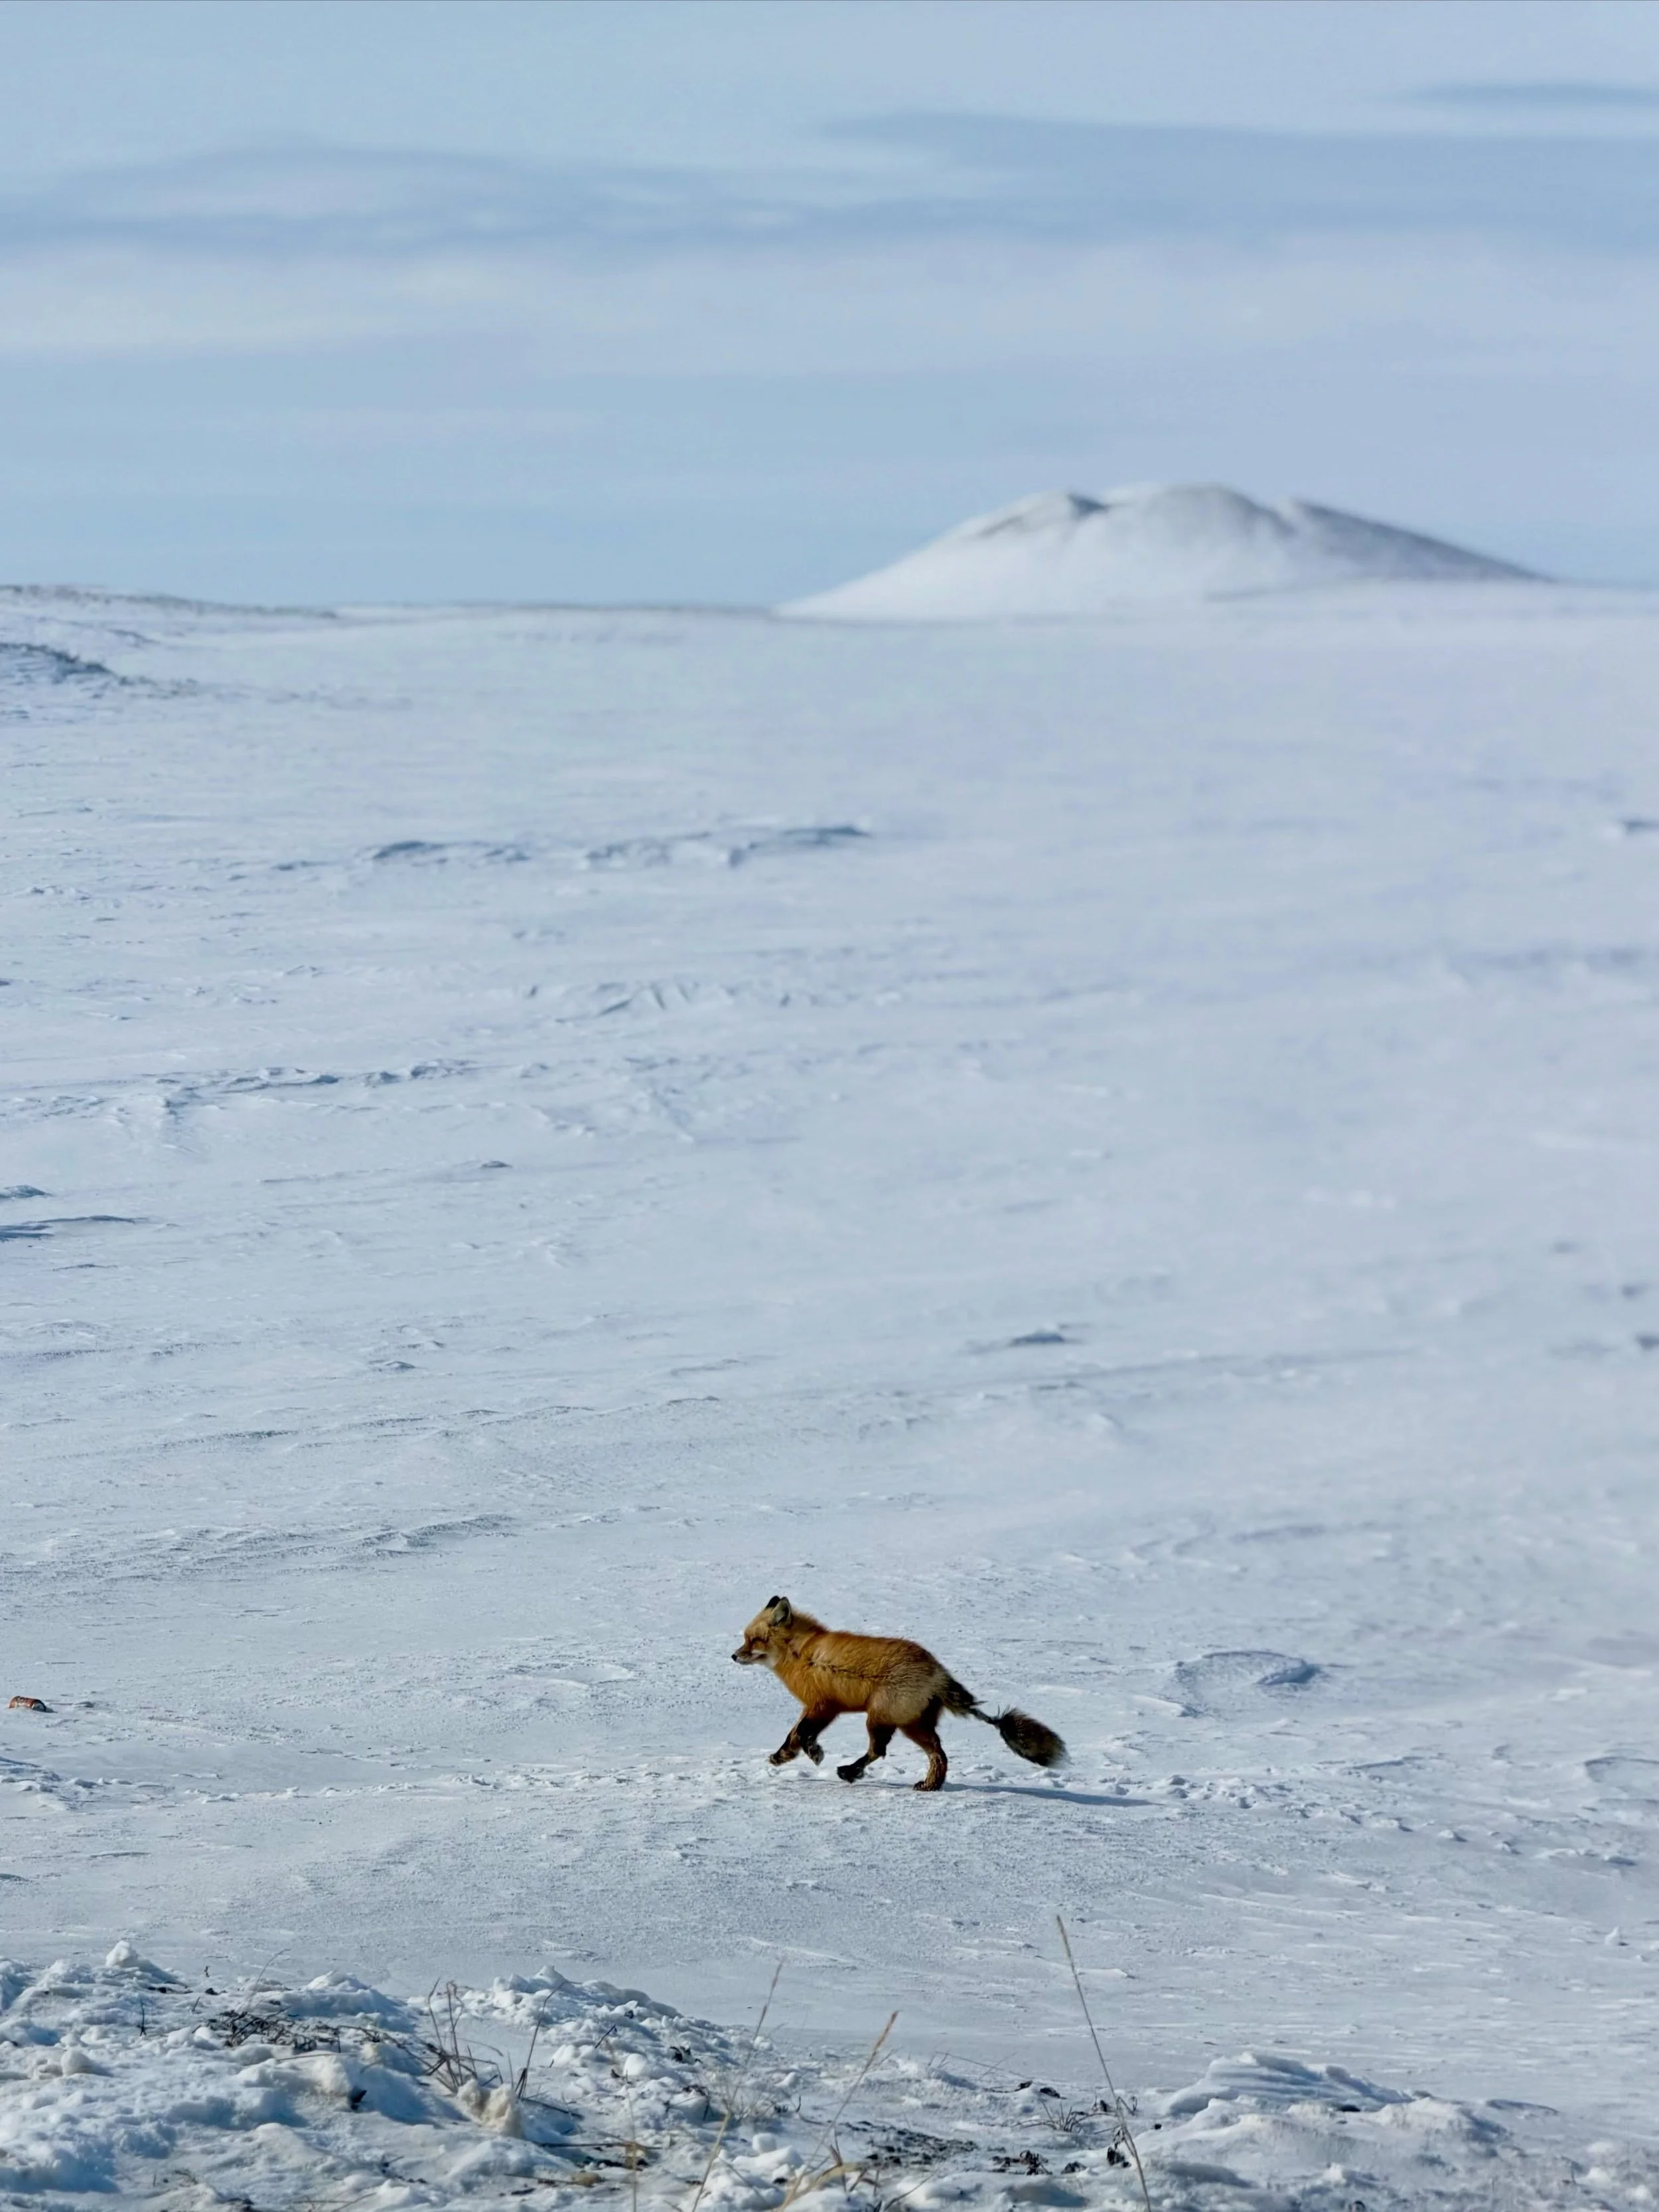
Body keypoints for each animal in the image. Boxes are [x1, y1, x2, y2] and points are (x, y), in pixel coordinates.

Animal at [732, 1595, 1066, 1792]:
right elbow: (793, 1735)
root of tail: (938, 1672)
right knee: (938, 1754)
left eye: (753, 1640)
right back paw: (931, 1785)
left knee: (879, 1751)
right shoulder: (815, 1707)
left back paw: (851, 1772)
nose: (734, 1656)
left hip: (881, 1720)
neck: (802, 1655)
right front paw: (782, 1756)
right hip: (913, 1724)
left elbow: (803, 1734)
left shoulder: (823, 1706)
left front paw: (815, 1754)